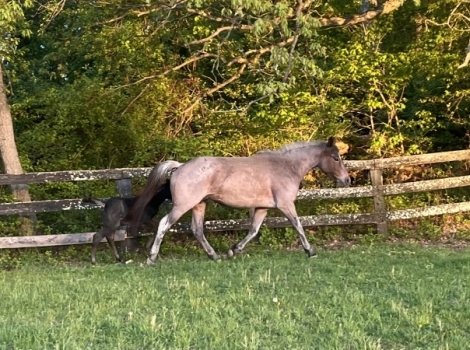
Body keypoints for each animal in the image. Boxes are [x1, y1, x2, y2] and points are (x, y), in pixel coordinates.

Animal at [130, 138, 350, 264]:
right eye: (336, 157)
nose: (347, 180)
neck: (286, 167)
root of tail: (180, 166)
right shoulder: (286, 205)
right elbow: (298, 226)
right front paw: (310, 251)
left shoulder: (262, 208)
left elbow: (253, 231)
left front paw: (233, 250)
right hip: (182, 206)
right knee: (163, 224)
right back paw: (152, 258)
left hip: (199, 205)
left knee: (197, 230)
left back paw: (214, 256)